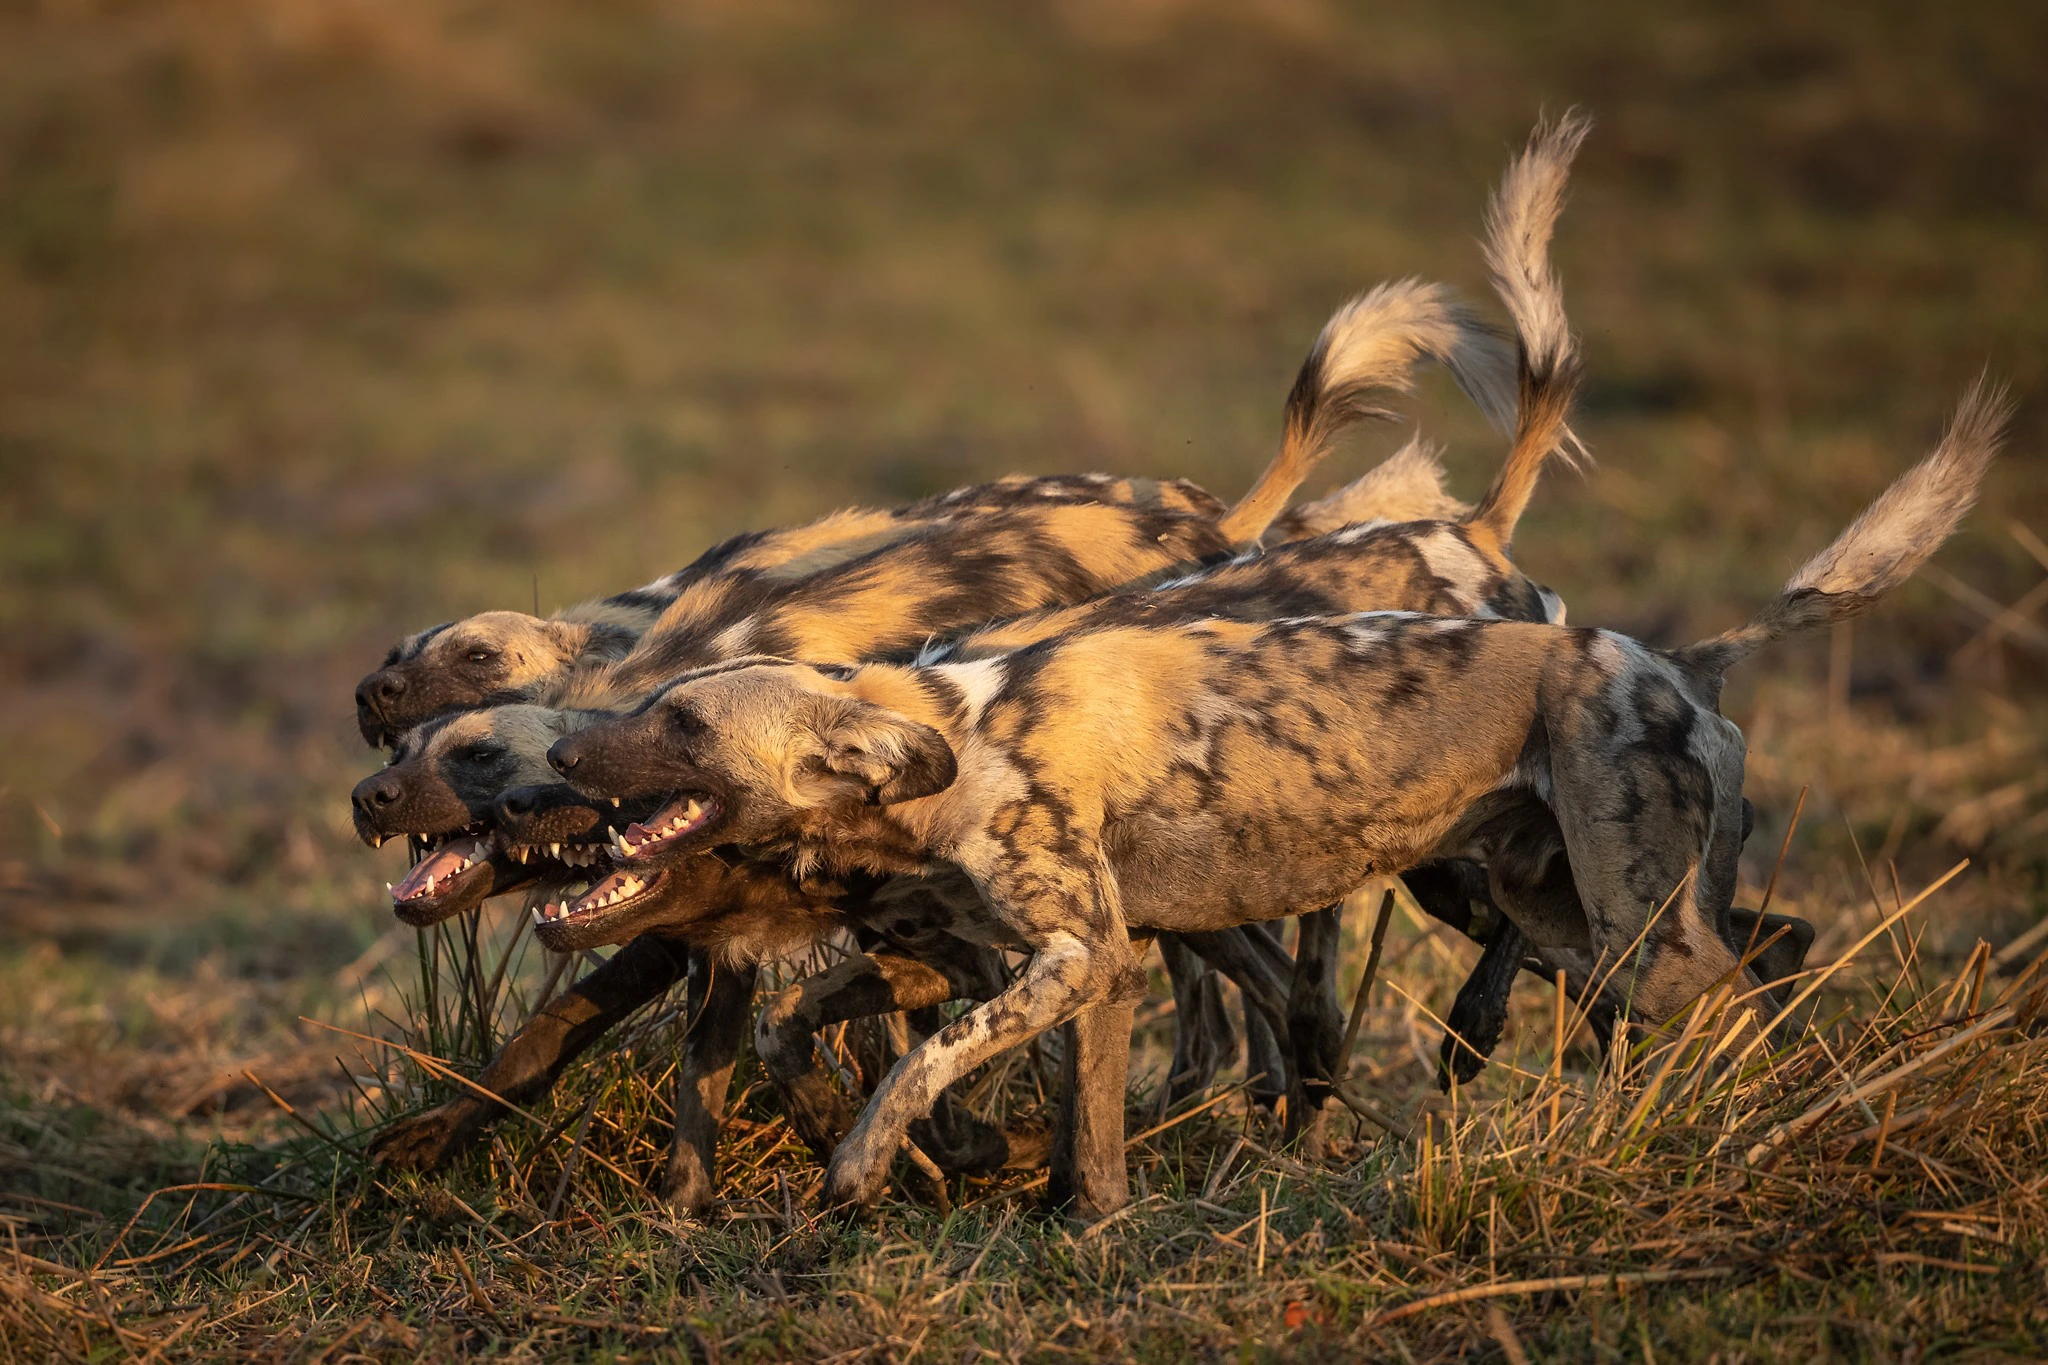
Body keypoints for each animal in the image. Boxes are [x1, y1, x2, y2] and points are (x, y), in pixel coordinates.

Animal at [540, 376, 1998, 1219]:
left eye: (678, 722)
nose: (562, 752)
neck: (958, 740)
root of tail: (1672, 659)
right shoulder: (1044, 961)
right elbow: (835, 1036)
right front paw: (1069, 1215)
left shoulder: (1077, 956)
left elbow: (926, 1058)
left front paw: (863, 1164)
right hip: (1561, 910)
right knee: (1771, 950)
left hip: (1615, 929)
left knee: (1732, 991)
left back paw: (1730, 1133)